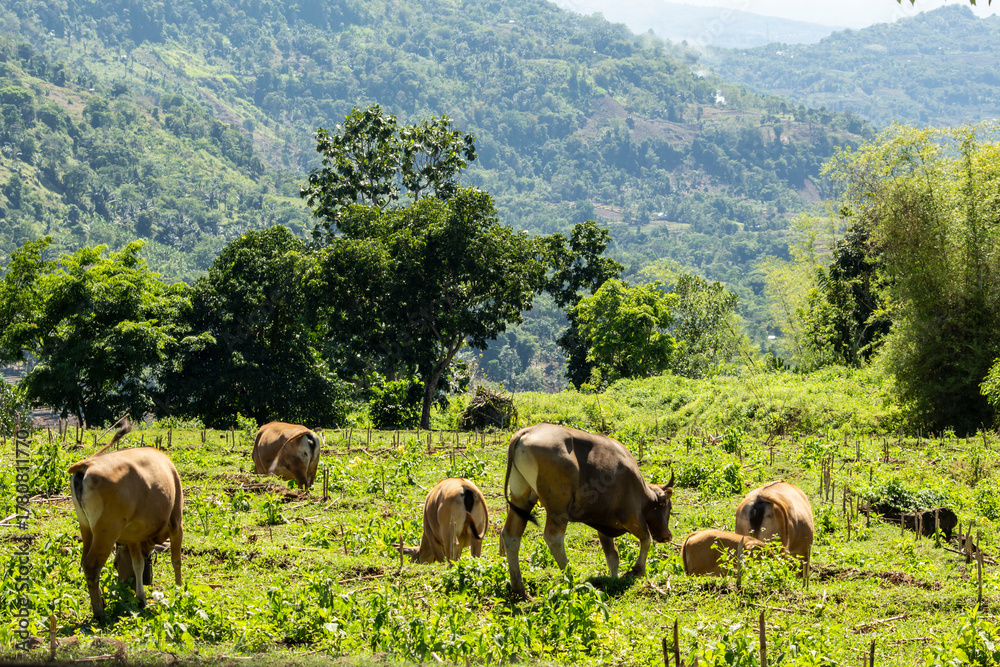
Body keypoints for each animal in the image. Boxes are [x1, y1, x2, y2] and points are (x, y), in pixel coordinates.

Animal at [68, 420, 184, 623]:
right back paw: (100, 613)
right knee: (91, 566)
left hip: (86, 528)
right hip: (106, 532)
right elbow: (176, 560)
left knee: (83, 562)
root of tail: (87, 464)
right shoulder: (177, 523)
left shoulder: (133, 536)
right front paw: (179, 590)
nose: (124, 587)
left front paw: (141, 598)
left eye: (116, 564)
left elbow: (138, 564)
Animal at [502, 423, 674, 598]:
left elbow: (612, 556)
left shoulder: (605, 526)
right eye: (669, 507)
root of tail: (526, 432)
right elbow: (646, 538)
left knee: (511, 535)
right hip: (558, 508)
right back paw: (572, 579)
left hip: (521, 498)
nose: (668, 535)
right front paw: (637, 570)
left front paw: (614, 579)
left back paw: (520, 590)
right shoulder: (631, 516)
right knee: (553, 537)